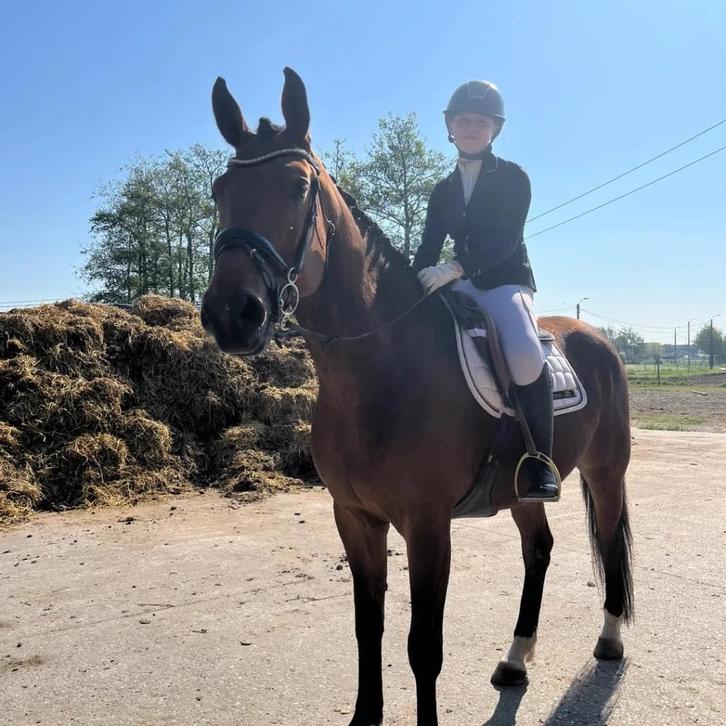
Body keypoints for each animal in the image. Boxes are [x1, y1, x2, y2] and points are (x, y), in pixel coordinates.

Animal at [200, 67, 633, 726]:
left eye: (298, 187)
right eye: (221, 189)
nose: (232, 314)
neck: (379, 374)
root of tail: (599, 339)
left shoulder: (427, 526)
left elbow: (422, 647)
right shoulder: (355, 518)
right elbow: (367, 628)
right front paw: (364, 716)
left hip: (606, 471)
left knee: (607, 541)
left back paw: (609, 642)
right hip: (525, 486)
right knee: (539, 549)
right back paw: (515, 660)